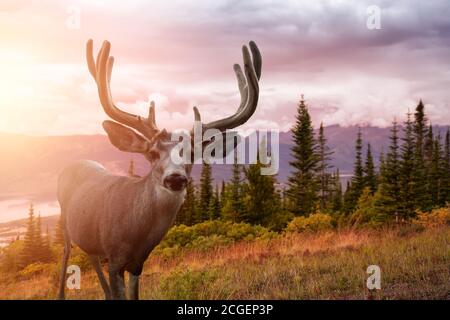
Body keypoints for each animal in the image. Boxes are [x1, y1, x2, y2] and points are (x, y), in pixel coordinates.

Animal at [57, 38, 262, 300]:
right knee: (65, 253)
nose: (175, 178)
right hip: (64, 221)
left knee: (90, 255)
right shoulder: (114, 258)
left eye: (192, 155)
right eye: (153, 154)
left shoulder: (137, 264)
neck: (134, 234)